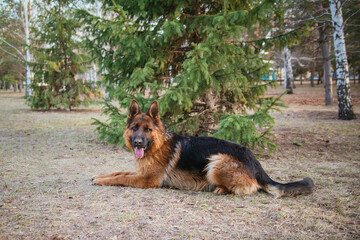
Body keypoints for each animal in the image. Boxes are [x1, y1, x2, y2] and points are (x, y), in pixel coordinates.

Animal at [93, 99, 316, 197]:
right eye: (134, 128)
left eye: (147, 130)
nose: (138, 143)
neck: (157, 145)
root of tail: (254, 160)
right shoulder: (141, 172)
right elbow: (119, 172)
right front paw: (100, 176)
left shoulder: (146, 179)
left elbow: (122, 178)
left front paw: (102, 180)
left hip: (216, 160)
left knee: (248, 188)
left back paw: (220, 189)